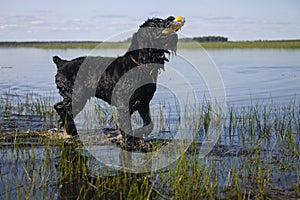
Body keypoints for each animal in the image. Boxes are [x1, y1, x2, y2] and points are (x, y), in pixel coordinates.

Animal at [52, 16, 184, 141]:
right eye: (155, 24)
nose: (172, 18)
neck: (140, 64)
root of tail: (62, 63)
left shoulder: (143, 103)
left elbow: (149, 125)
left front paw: (139, 133)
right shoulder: (124, 105)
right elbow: (127, 128)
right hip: (77, 96)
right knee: (61, 108)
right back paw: (71, 129)